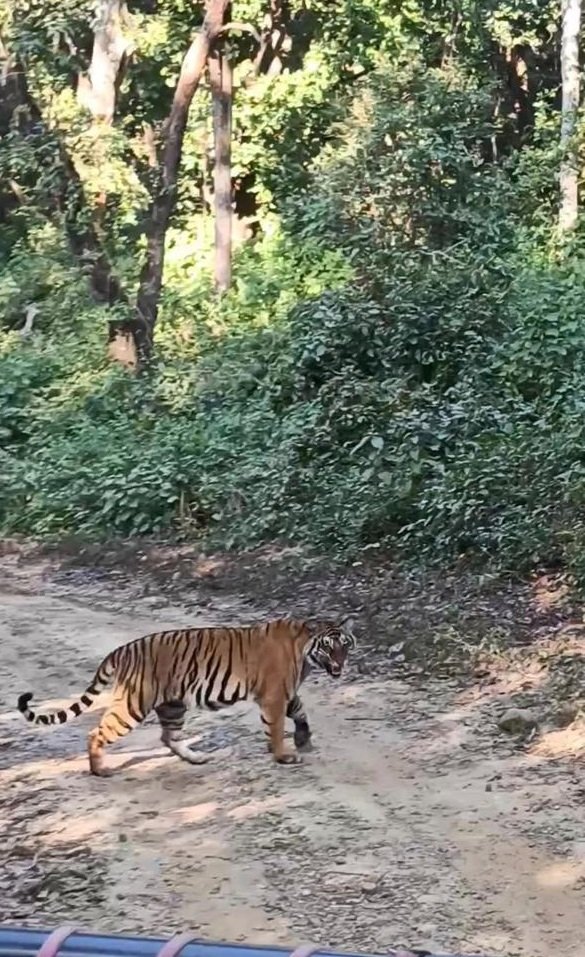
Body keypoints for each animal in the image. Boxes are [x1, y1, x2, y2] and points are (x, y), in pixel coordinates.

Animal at [17, 616, 356, 777]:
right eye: (327, 647)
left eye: (345, 644)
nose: (340, 665)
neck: (305, 653)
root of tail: (121, 649)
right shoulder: (273, 695)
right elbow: (275, 728)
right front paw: (283, 755)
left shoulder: (286, 692)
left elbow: (300, 712)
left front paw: (303, 739)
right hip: (133, 704)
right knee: (96, 732)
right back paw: (100, 770)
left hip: (173, 704)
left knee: (168, 737)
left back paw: (195, 758)